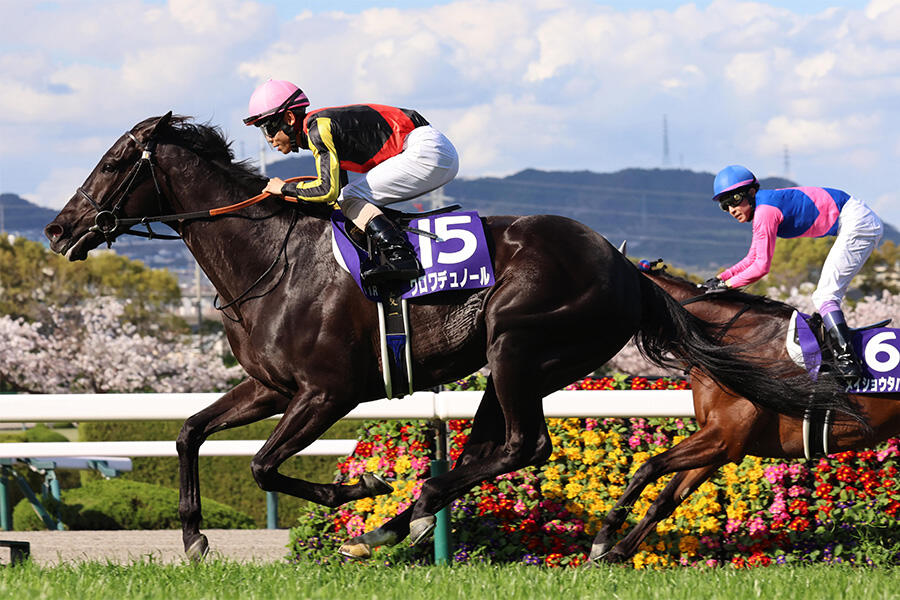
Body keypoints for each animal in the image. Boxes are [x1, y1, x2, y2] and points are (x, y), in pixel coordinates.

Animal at [44, 113, 861, 561]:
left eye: (113, 163)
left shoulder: (327, 392)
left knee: (524, 446)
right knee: (490, 449)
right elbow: (189, 432)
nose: (57, 228)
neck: (270, 260)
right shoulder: (271, 385)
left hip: (516, 342)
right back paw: (403, 521)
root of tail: (625, 266)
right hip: (514, 365)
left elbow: (264, 467)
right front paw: (193, 538)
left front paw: (357, 487)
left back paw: (396, 518)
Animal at [590, 261, 899, 563]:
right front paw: (616, 551)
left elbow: (648, 467)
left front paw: (603, 539)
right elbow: (666, 499)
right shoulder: (720, 444)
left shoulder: (724, 437)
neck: (732, 346)